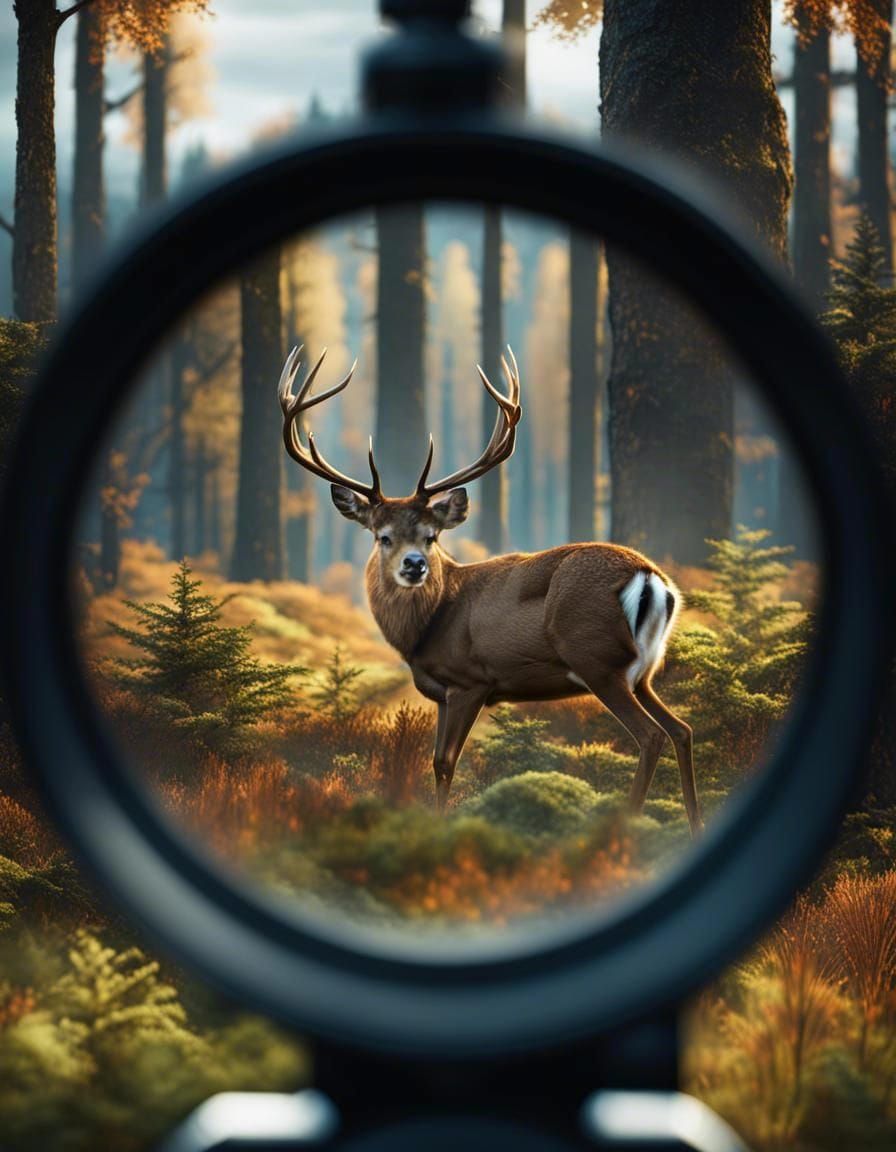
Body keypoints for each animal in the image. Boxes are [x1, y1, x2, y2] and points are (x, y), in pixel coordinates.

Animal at [278, 345, 702, 836]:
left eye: (431, 536)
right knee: (682, 729)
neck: (429, 628)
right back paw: (695, 824)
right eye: (382, 536)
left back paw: (623, 829)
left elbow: (446, 763)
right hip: (644, 671)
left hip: (597, 658)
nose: (414, 565)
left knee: (651, 735)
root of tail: (651, 577)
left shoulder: (471, 679)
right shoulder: (444, 692)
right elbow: (436, 763)